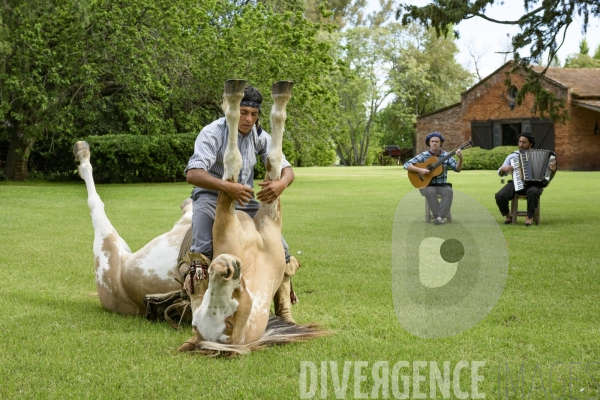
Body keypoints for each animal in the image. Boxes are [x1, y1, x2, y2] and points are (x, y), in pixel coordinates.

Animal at [75, 79, 328, 354]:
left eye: (227, 322)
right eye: (205, 318)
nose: (223, 267)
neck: (256, 264)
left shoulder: (268, 217)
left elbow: (271, 161)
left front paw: (268, 94)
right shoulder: (240, 213)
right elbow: (239, 159)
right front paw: (236, 97)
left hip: (110, 247)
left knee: (103, 206)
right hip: (110, 248)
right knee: (100, 205)